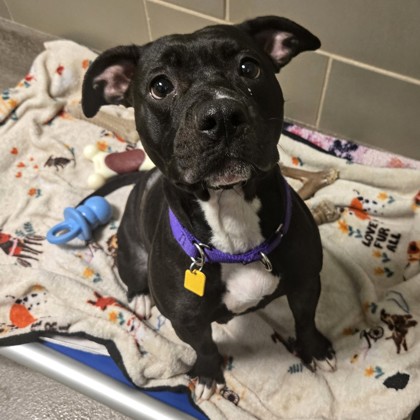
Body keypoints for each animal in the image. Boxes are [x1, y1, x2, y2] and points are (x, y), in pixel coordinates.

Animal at [81, 15, 336, 400]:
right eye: (160, 86)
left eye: (249, 67)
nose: (222, 115)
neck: (231, 219)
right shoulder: (188, 321)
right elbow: (204, 347)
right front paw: (206, 376)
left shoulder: (307, 281)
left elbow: (305, 320)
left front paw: (315, 351)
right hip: (131, 252)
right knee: (133, 278)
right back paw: (140, 300)